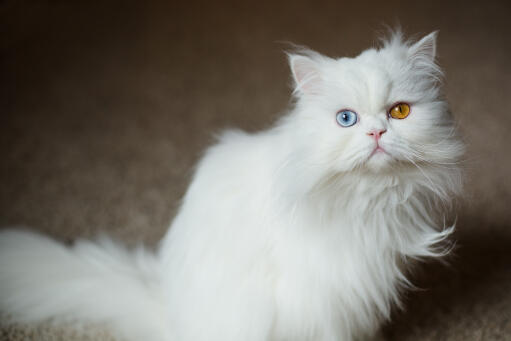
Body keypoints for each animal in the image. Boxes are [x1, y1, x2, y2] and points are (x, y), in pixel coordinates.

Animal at [0, 30, 464, 338]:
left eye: (399, 112)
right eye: (346, 119)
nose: (376, 133)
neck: (368, 199)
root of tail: (171, 316)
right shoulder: (323, 297)